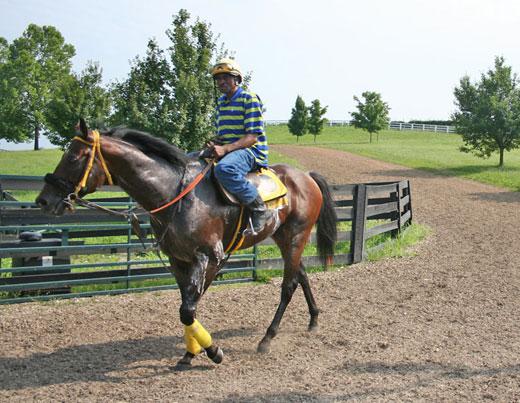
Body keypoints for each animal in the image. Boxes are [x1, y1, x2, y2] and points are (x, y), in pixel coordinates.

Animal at [36, 119, 338, 366]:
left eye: (74, 157)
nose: (43, 200)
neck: (175, 194)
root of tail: (306, 176)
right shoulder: (178, 260)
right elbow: (187, 306)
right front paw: (191, 352)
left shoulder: (210, 258)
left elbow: (189, 308)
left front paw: (213, 351)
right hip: (283, 237)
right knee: (301, 275)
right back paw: (314, 319)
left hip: (295, 236)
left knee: (288, 286)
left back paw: (267, 338)